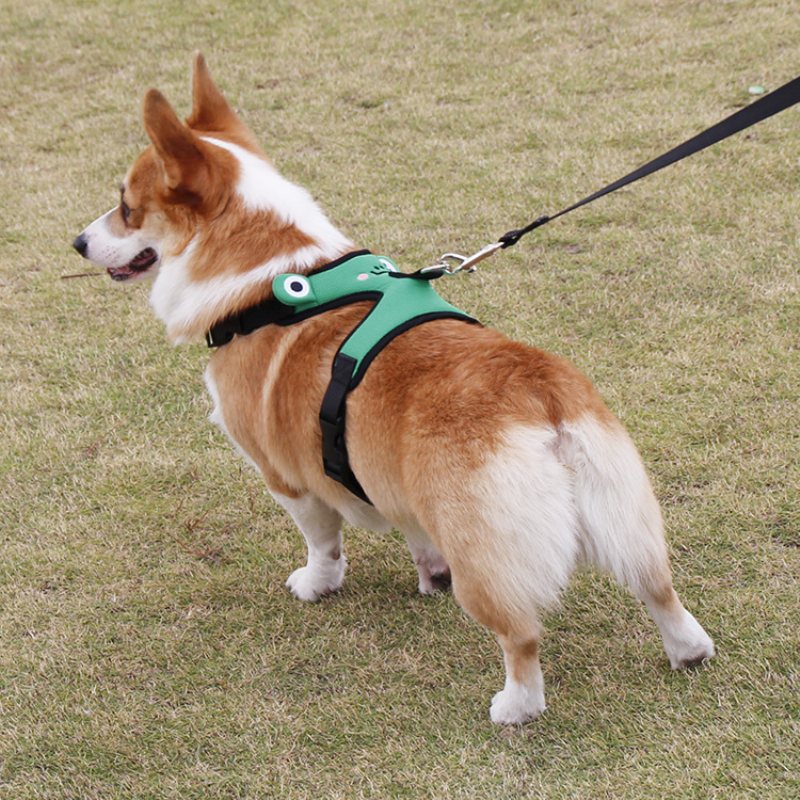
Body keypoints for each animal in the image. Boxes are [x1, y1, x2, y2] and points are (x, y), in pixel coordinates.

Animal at [73, 51, 712, 724]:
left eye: (126, 205)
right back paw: (688, 651)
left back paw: (514, 707)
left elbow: (322, 542)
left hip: (486, 556)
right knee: (659, 589)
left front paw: (316, 586)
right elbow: (411, 533)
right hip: (622, 512)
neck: (270, 276)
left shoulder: (288, 478)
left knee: (521, 636)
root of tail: (539, 392)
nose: (77, 243)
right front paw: (427, 574)